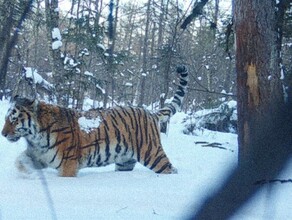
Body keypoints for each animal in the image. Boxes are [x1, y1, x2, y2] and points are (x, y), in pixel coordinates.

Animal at [1, 65, 188, 177]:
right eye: (6, 118)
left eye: (14, 119)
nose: (3, 134)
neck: (35, 137)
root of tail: (150, 113)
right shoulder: (36, 155)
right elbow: (20, 161)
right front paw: (25, 174)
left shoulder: (67, 166)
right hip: (125, 161)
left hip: (152, 154)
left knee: (170, 169)